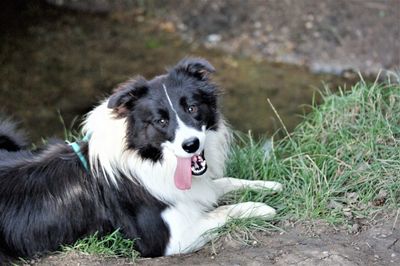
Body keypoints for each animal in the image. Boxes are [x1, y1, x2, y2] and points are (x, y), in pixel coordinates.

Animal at [0, 57, 282, 262]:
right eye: (161, 121)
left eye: (192, 108)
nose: (191, 145)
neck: (149, 159)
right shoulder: (170, 239)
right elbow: (223, 211)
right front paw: (260, 208)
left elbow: (224, 183)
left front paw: (269, 185)